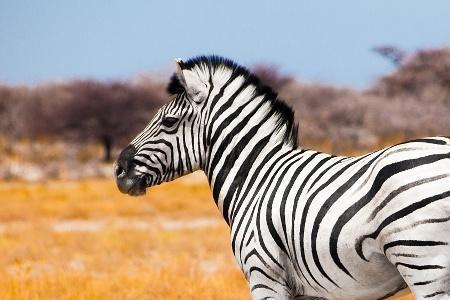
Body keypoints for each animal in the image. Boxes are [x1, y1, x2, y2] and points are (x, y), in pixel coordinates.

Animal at [114, 56, 450, 300]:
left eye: (169, 122)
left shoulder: (263, 274)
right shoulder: (311, 291)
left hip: (422, 260)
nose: (119, 170)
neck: (254, 178)